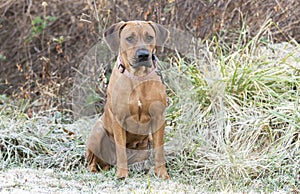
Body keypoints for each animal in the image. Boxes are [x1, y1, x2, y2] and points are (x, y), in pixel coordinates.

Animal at [85, 20, 170, 179]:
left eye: (149, 37)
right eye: (129, 38)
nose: (143, 55)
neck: (138, 77)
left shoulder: (158, 117)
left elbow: (159, 150)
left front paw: (162, 173)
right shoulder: (119, 119)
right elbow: (121, 151)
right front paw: (122, 175)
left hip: (146, 146)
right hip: (98, 131)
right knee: (92, 161)